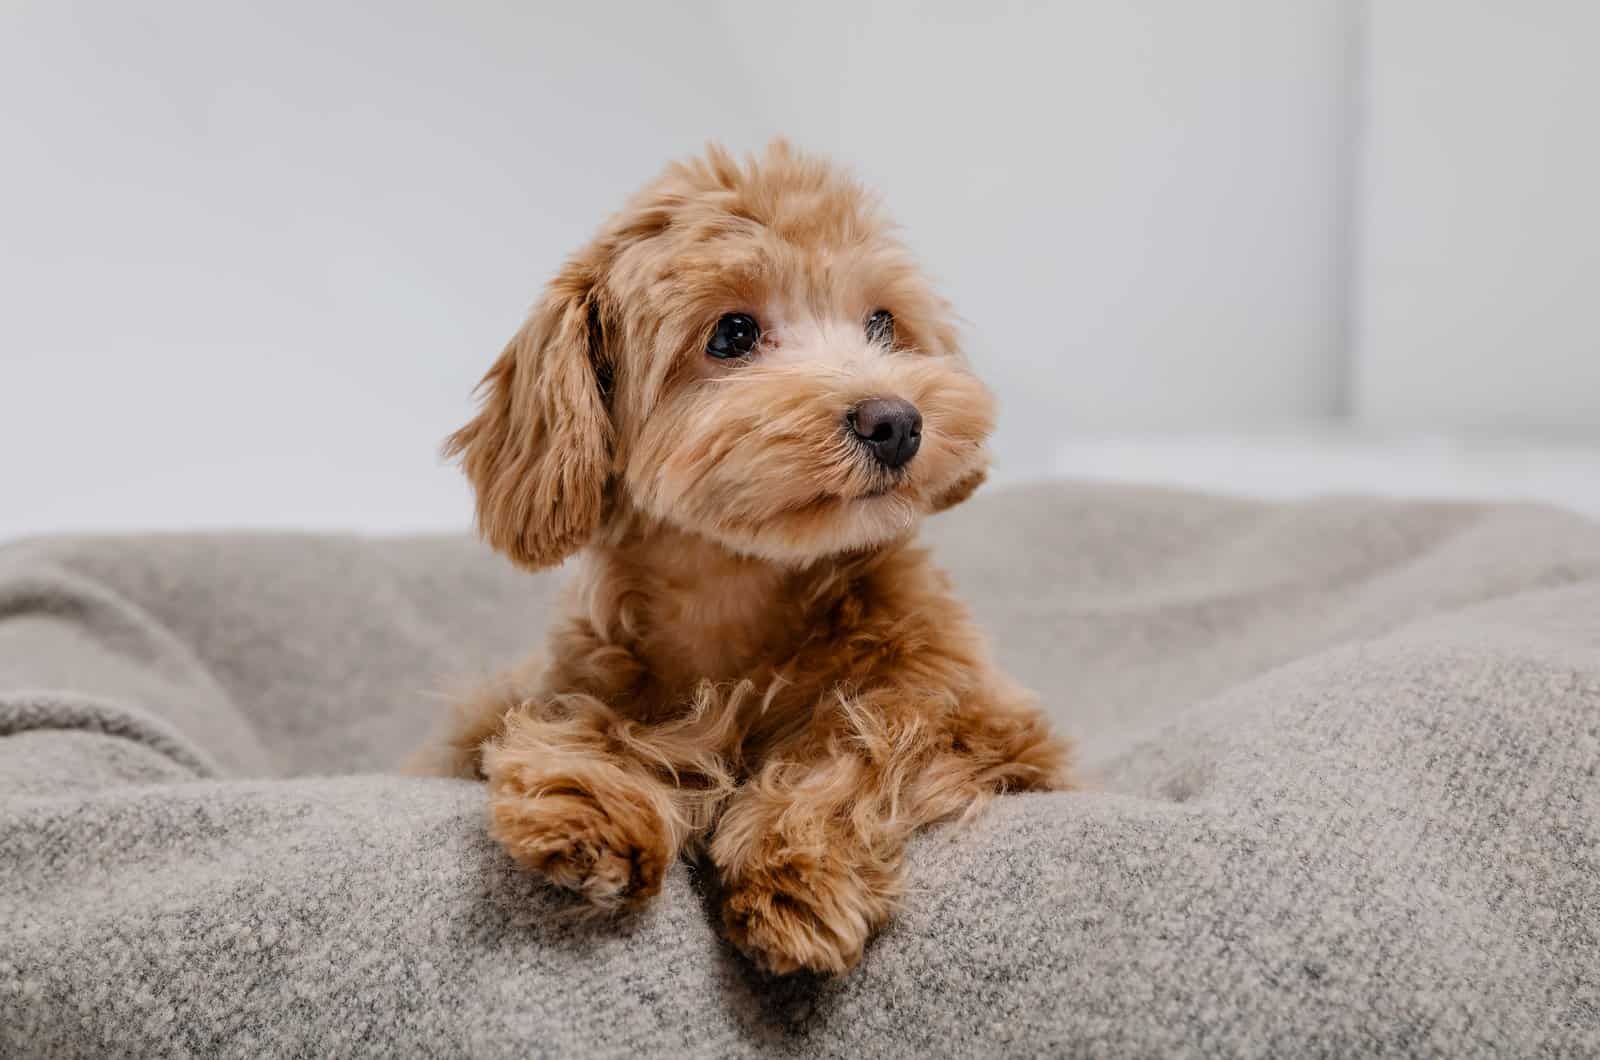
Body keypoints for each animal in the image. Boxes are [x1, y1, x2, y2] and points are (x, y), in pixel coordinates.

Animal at [412, 140, 1068, 979]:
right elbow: (586, 721)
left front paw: (797, 870)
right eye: (731, 334)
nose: (895, 420)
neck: (739, 590)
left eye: (882, 322)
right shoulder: (556, 683)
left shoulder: (997, 731)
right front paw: (590, 798)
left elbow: (876, 737)